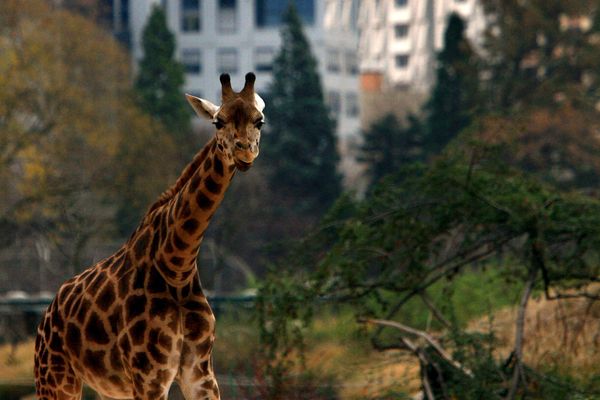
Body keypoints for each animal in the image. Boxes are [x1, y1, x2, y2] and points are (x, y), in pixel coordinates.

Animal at [33, 72, 264, 400]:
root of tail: (47, 313)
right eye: (218, 122)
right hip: (55, 378)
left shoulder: (201, 373)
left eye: (260, 121)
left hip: (109, 389)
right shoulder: (150, 375)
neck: (177, 266)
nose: (245, 153)